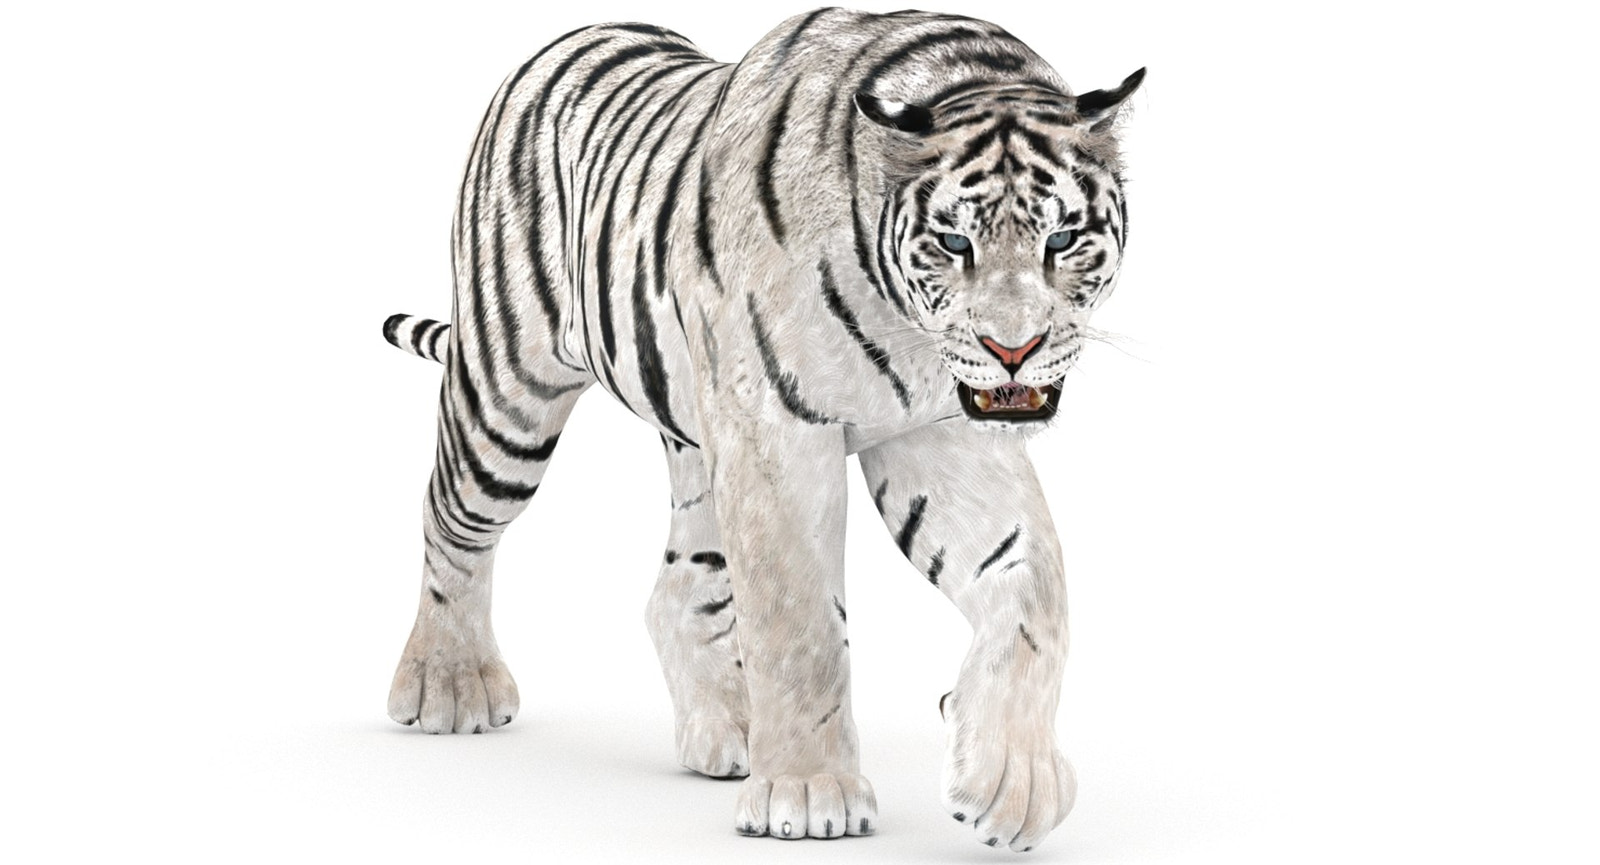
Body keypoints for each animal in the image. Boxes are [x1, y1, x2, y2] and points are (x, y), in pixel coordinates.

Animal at [379, 7, 1142, 852]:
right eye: (953, 242)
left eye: (1062, 239)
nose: (1015, 348)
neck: (908, 327)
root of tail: (570, 38)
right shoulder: (780, 433)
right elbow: (798, 620)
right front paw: (809, 794)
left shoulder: (937, 431)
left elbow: (1035, 587)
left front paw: (1011, 781)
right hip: (509, 394)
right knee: (452, 522)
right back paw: (448, 684)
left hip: (700, 436)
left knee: (677, 589)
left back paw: (731, 732)